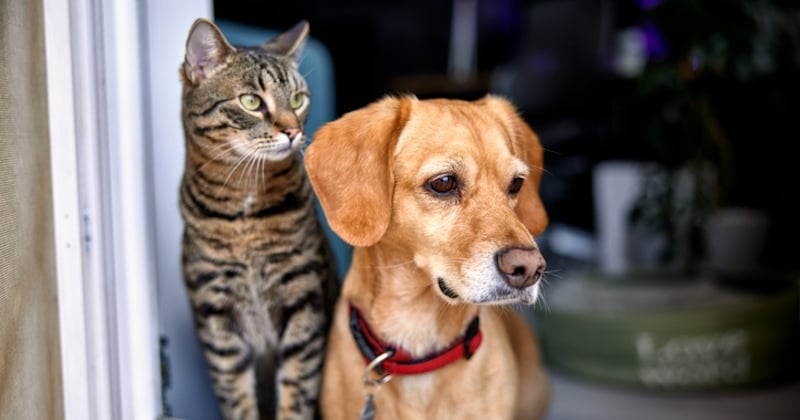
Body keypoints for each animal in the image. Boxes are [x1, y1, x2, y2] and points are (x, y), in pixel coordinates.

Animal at [178, 17, 338, 420]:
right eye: (251, 101)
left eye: (298, 100)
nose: (293, 131)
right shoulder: (216, 314)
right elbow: (236, 395)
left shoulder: (304, 300)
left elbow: (297, 388)